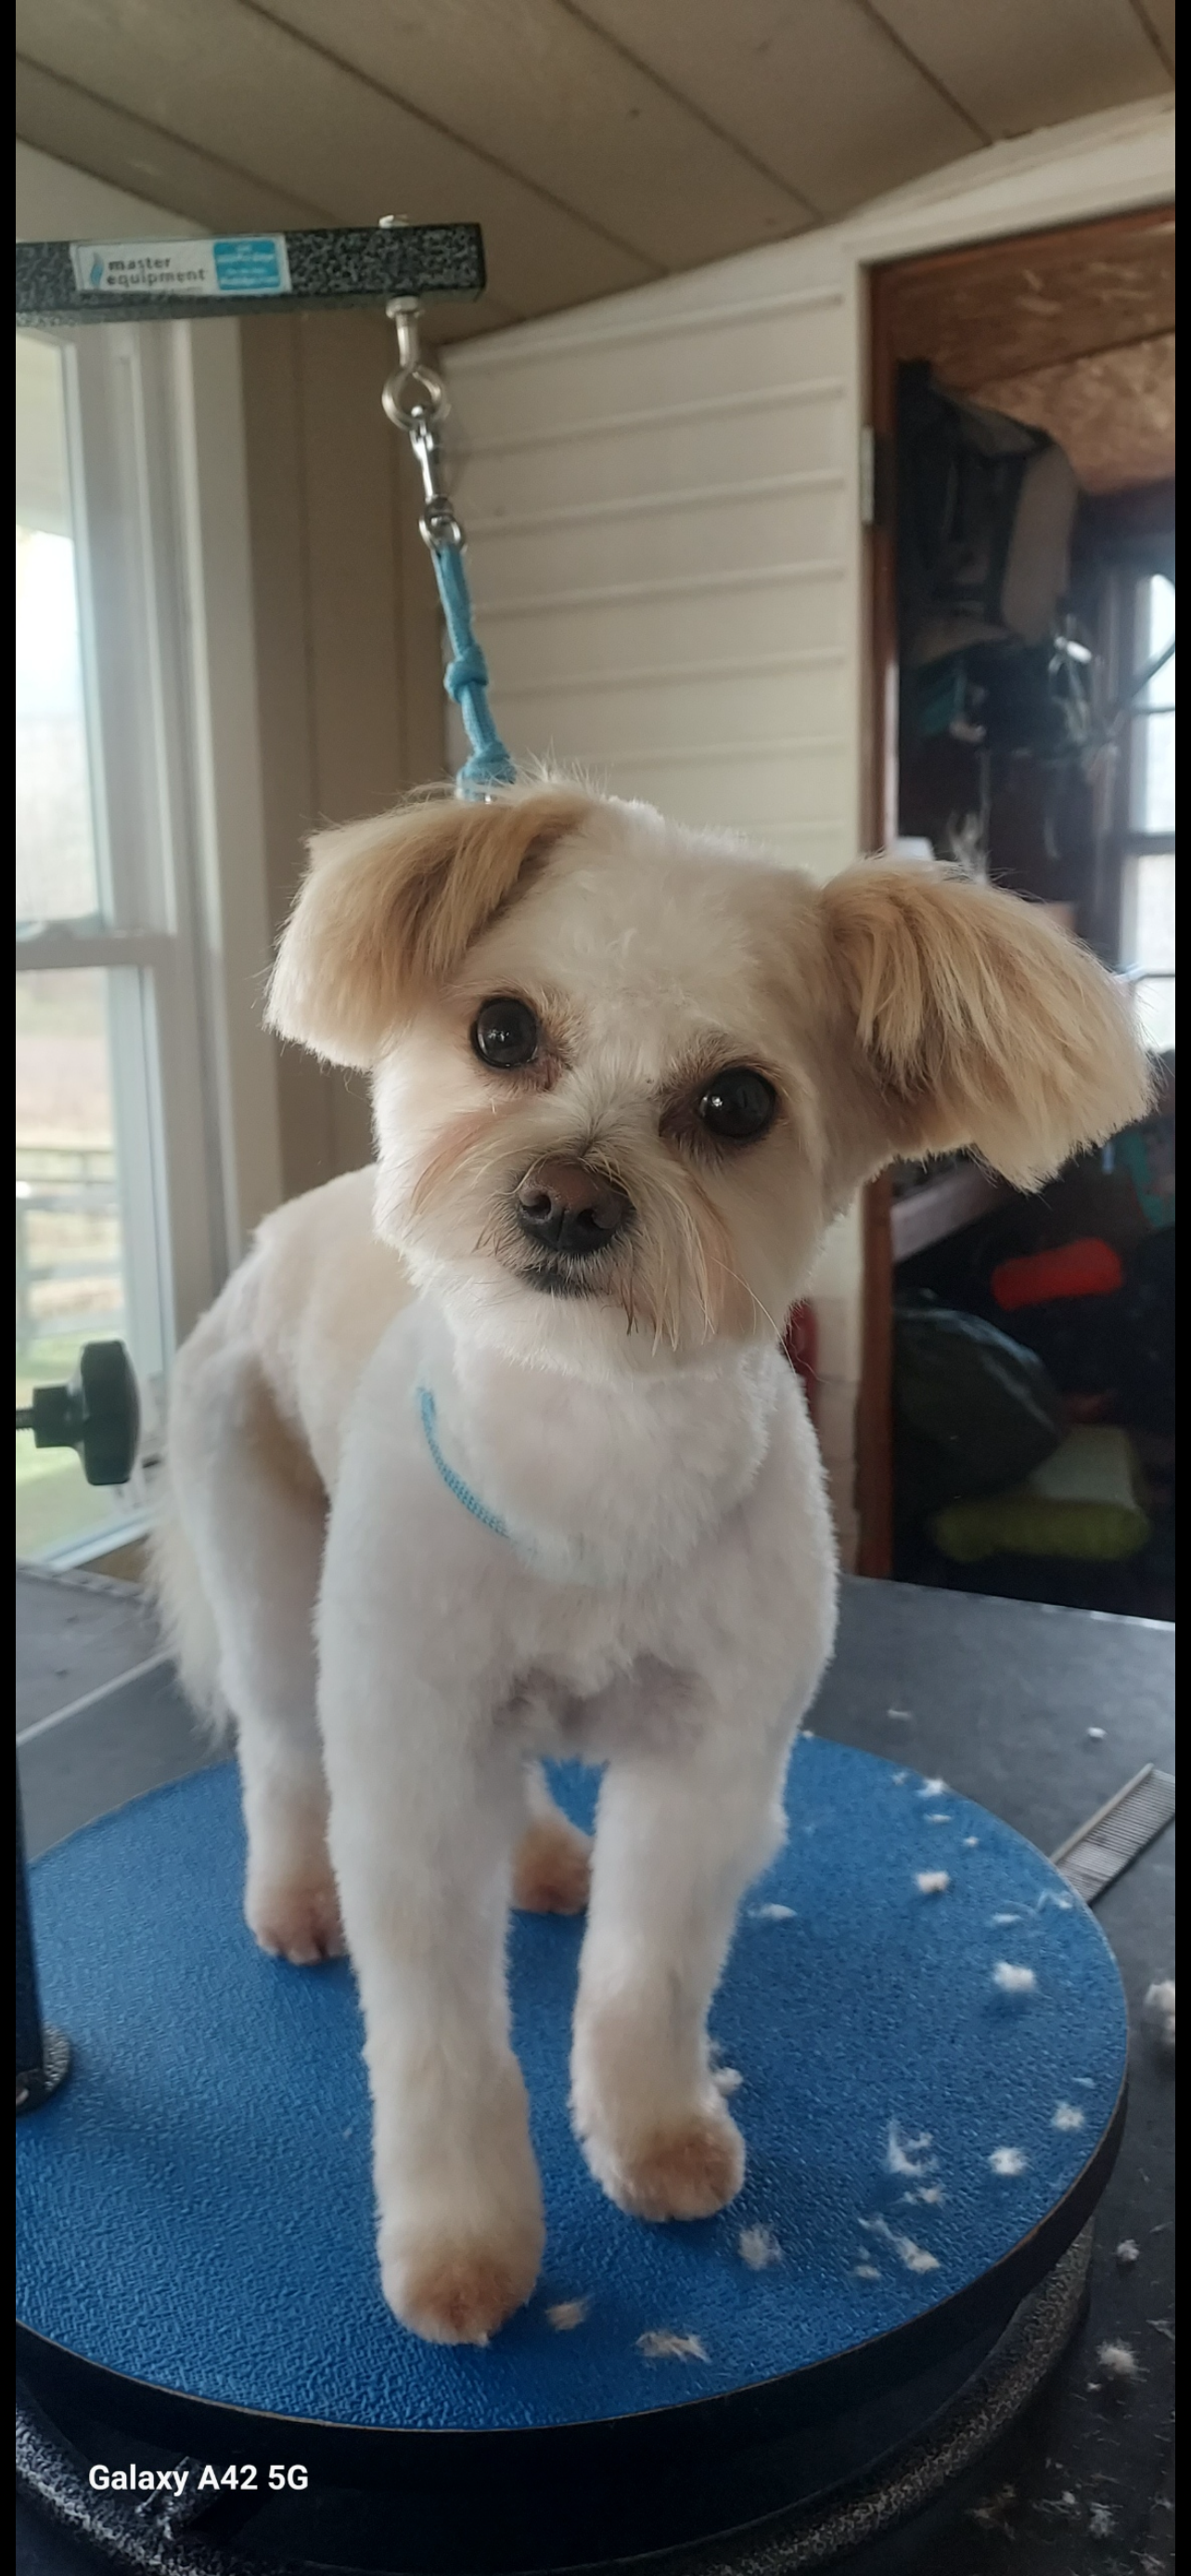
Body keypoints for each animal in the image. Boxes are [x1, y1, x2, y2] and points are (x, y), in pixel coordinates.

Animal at [156, 783, 1148, 2346]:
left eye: (735, 1103)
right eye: (503, 1031)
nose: (565, 1196)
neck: (589, 1450)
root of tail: (274, 1237)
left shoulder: (708, 1769)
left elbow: (644, 1979)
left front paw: (655, 2135)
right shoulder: (412, 1777)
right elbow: (441, 2045)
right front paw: (463, 2241)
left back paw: (541, 1854)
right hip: (267, 1565)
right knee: (280, 1751)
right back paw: (295, 1894)